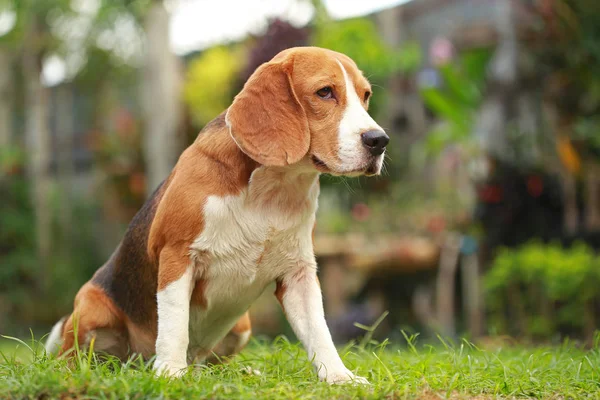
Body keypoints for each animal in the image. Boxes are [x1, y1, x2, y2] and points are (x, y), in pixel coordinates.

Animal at [45, 47, 390, 384]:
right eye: (325, 92)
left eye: (366, 95)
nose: (379, 140)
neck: (272, 190)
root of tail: (135, 362)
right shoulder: (177, 256)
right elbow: (174, 325)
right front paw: (170, 373)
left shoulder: (298, 273)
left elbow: (319, 332)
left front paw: (339, 376)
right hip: (90, 308)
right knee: (74, 357)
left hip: (242, 326)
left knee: (204, 363)